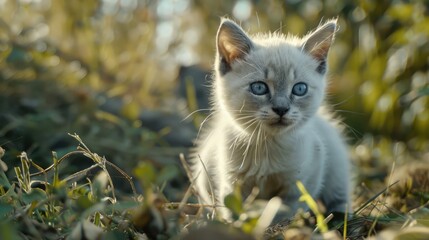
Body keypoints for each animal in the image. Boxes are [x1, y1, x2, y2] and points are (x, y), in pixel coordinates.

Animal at [191, 18, 352, 220]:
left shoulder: (304, 178)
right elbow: (233, 210)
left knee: (339, 194)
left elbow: (285, 209)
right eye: (259, 88)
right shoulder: (231, 181)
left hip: (337, 165)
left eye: (300, 89)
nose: (281, 109)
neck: (267, 146)